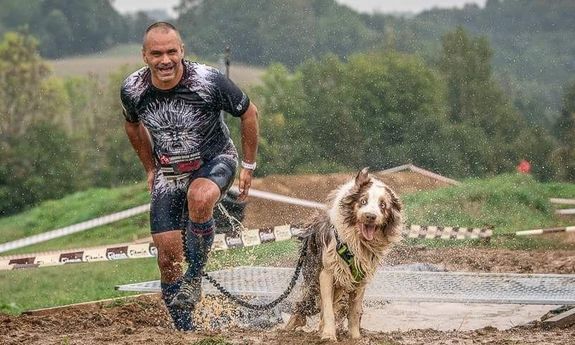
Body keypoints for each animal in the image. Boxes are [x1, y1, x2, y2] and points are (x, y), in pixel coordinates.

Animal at [286, 167, 402, 338]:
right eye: (363, 201)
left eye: (383, 205)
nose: (370, 216)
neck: (356, 243)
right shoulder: (327, 271)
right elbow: (328, 308)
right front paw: (328, 335)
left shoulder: (360, 278)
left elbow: (354, 311)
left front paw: (355, 337)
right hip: (313, 276)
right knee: (306, 303)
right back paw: (286, 328)